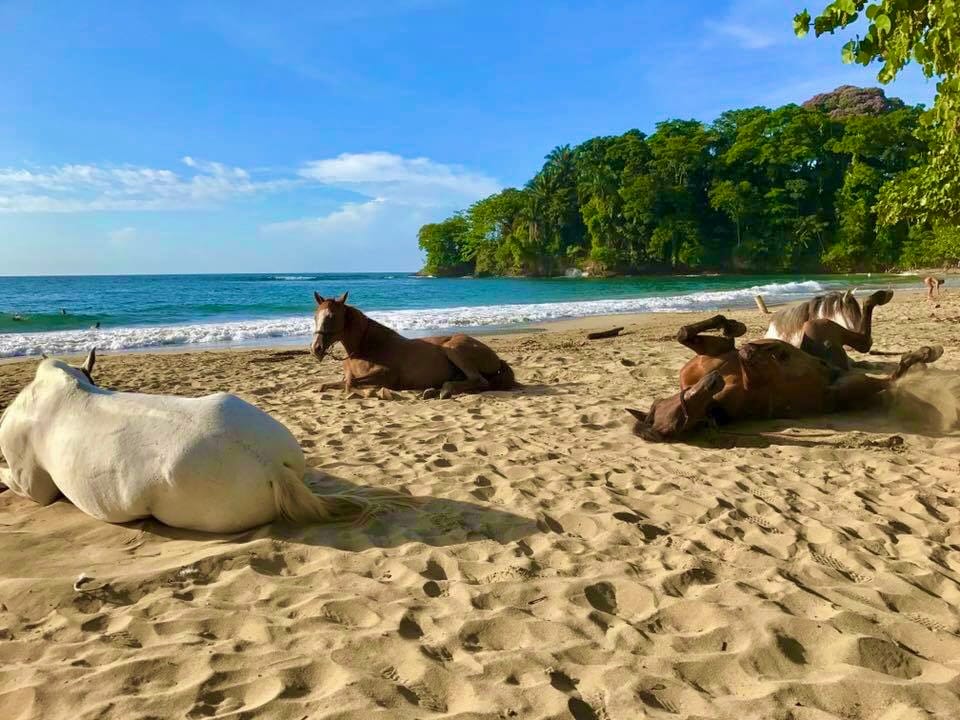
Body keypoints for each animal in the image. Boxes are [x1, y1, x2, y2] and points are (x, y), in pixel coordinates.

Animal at [310, 292, 517, 399]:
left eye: (332, 317)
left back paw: (444, 390)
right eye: (315, 316)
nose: (316, 348)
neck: (365, 348)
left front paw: (373, 392)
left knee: (480, 381)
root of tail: (496, 358)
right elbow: (328, 384)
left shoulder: (387, 375)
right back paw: (432, 390)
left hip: (454, 349)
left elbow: (351, 384)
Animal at [627, 311, 944, 442]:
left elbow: (686, 332)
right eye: (684, 417)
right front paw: (761, 351)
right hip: (848, 387)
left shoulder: (715, 353)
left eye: (678, 408)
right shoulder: (755, 387)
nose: (714, 383)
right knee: (892, 377)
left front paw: (736, 326)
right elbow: (750, 358)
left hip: (817, 328)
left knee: (864, 342)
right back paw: (927, 354)